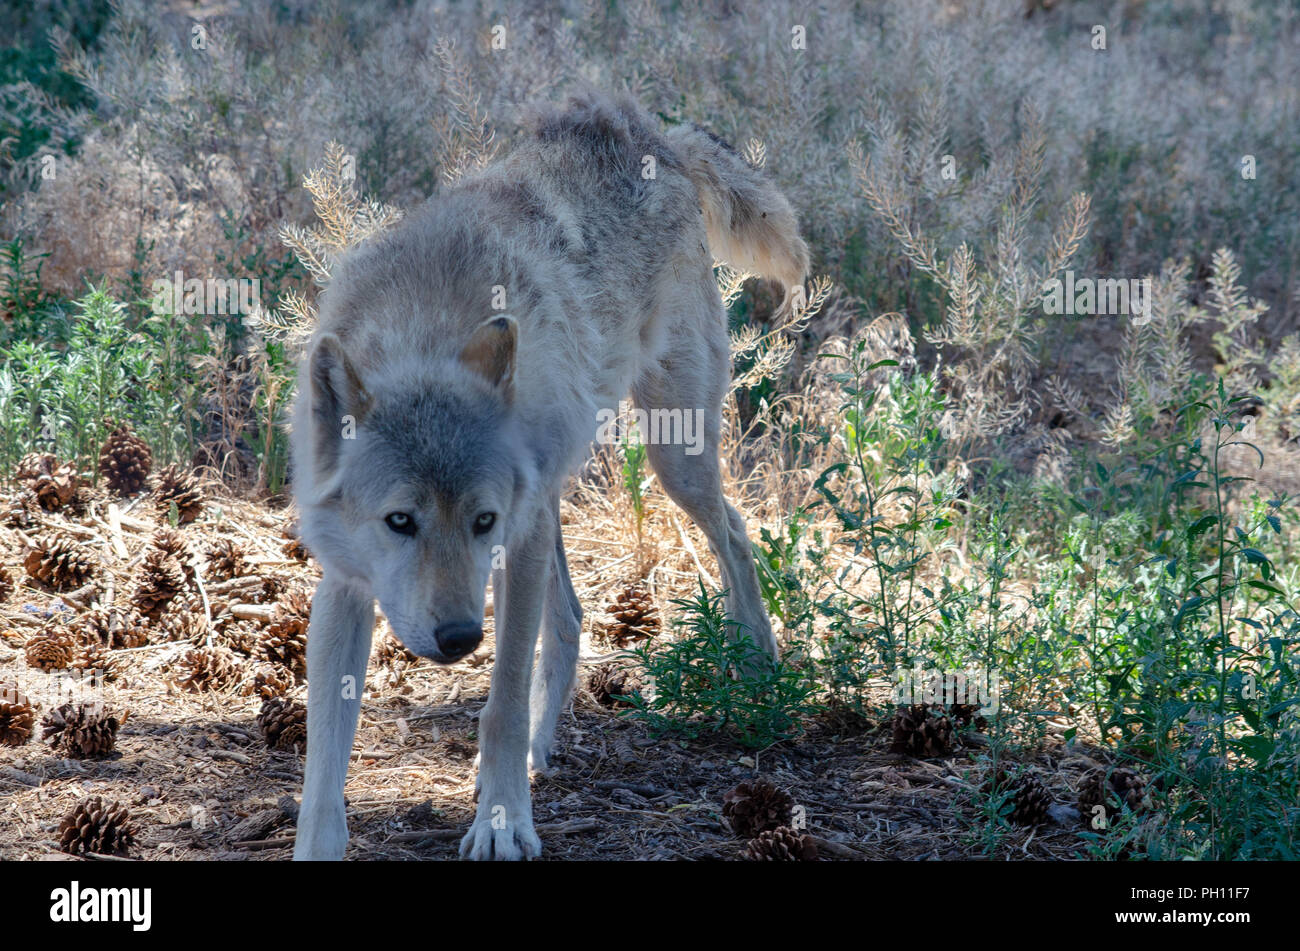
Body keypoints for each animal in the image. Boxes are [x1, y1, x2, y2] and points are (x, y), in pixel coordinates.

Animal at [289, 90, 806, 862]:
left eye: (480, 521)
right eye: (400, 521)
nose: (458, 639)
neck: (424, 337)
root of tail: (656, 132)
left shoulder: (515, 534)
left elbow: (500, 702)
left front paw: (502, 823)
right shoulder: (347, 582)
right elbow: (324, 754)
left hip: (672, 456)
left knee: (738, 532)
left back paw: (756, 671)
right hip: (560, 493)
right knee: (571, 618)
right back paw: (539, 748)